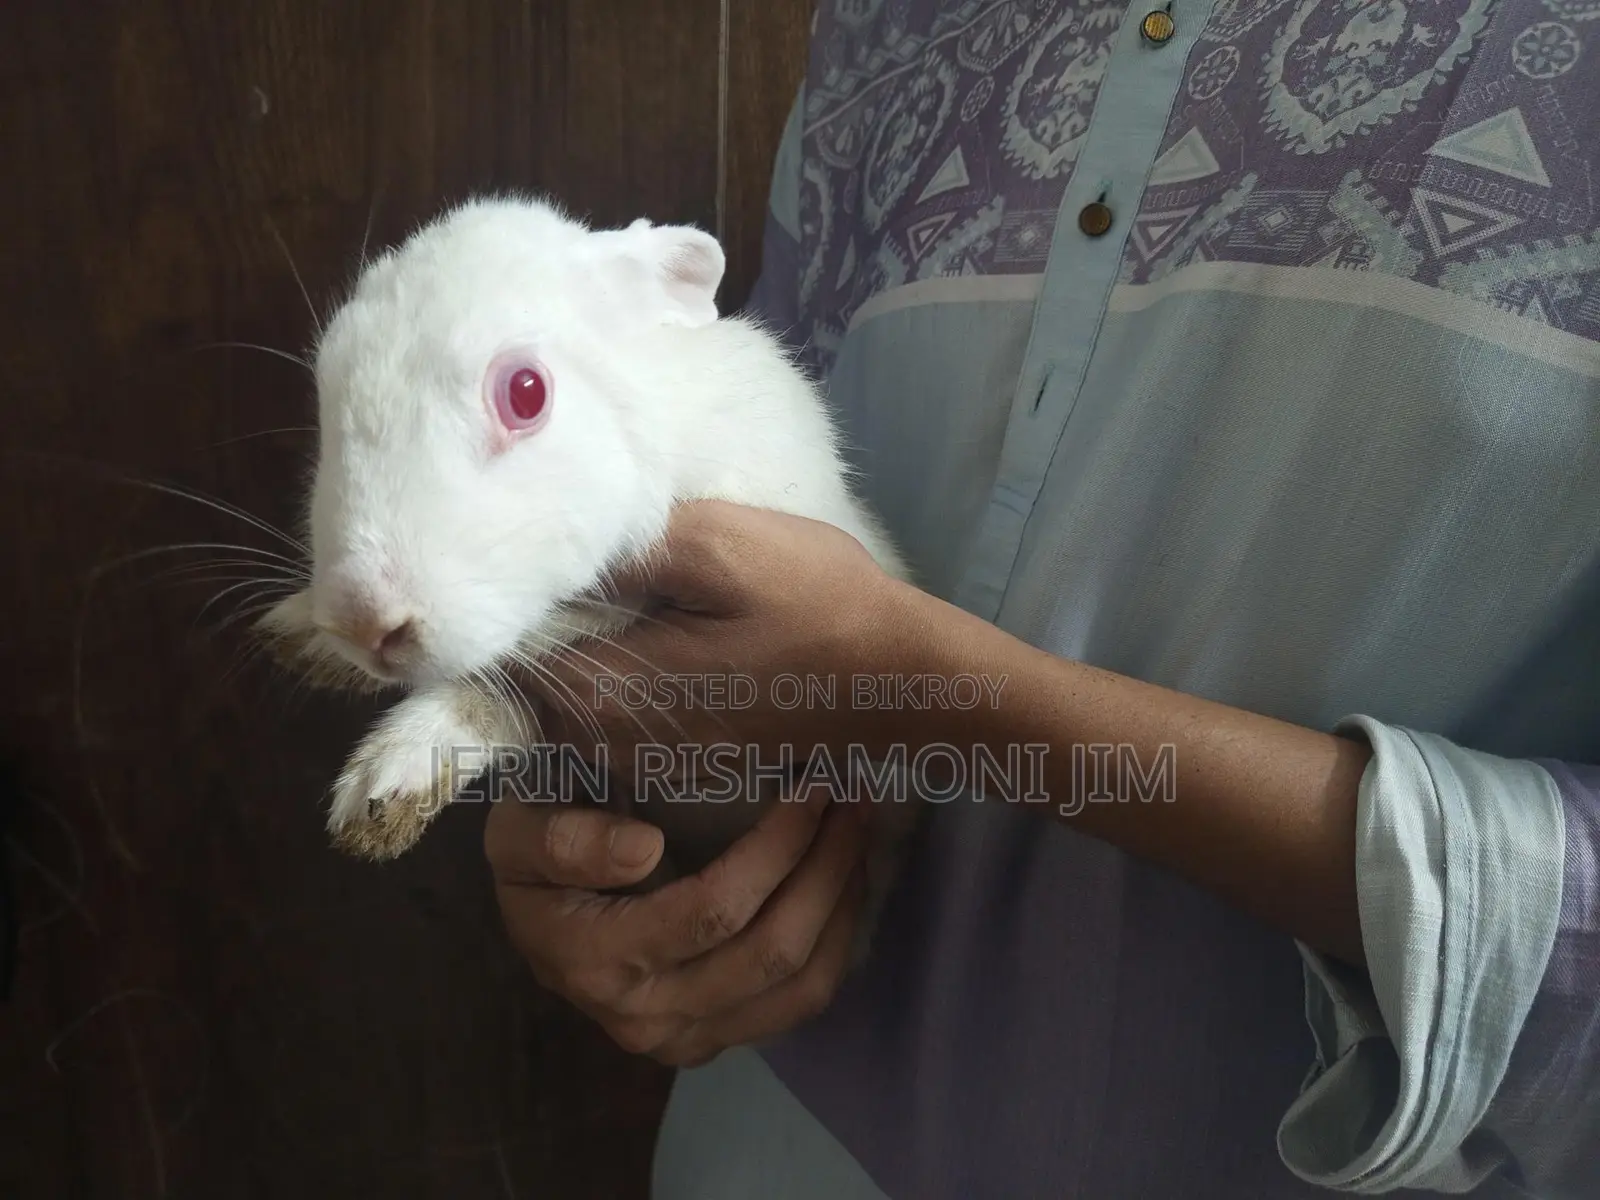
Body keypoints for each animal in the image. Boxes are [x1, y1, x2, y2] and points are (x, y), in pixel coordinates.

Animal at [256, 193, 921, 944]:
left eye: (525, 392)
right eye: (325, 394)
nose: (363, 623)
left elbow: (507, 674)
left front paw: (389, 775)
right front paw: (302, 635)